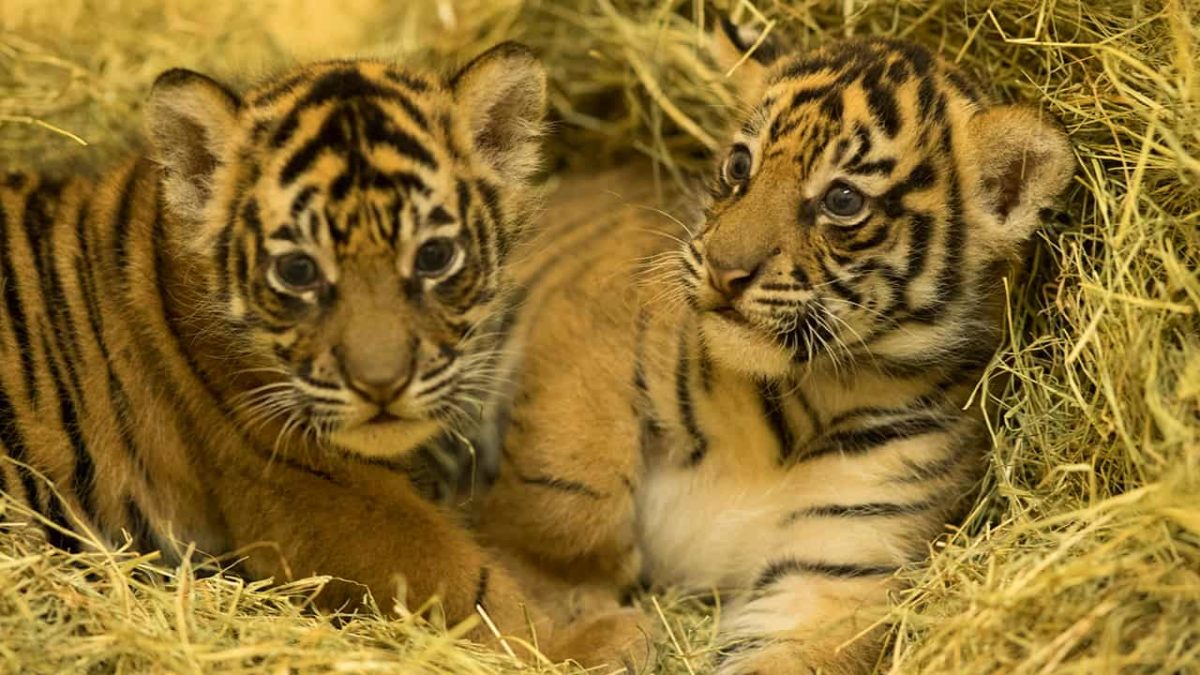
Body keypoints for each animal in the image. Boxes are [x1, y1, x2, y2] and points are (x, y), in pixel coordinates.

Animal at [0, 43, 649, 669]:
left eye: (434, 256)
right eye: (298, 270)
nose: (382, 385)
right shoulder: (316, 493)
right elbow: (467, 583)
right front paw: (589, 643)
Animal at [471, 27, 1074, 674]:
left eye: (842, 199)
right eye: (741, 165)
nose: (723, 270)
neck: (805, 395)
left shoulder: (836, 568)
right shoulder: (592, 331)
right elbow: (568, 491)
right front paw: (563, 602)